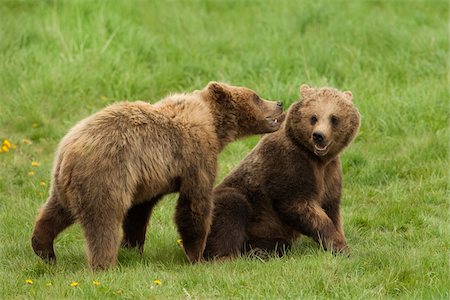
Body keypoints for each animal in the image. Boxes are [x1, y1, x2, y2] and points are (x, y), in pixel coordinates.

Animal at [31, 81, 284, 270]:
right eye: (256, 97)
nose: (280, 103)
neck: (213, 124)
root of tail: (68, 149)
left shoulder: (148, 178)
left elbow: (139, 212)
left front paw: (133, 247)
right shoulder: (196, 155)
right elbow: (194, 203)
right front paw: (198, 255)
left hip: (66, 184)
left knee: (55, 211)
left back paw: (44, 249)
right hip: (105, 176)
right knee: (102, 221)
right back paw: (104, 264)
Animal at [206, 83, 360, 258]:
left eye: (334, 118)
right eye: (314, 117)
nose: (319, 136)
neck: (316, 158)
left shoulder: (330, 172)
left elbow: (332, 207)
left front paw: (340, 241)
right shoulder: (289, 165)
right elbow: (299, 204)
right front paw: (341, 247)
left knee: (278, 243)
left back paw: (260, 250)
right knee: (231, 207)